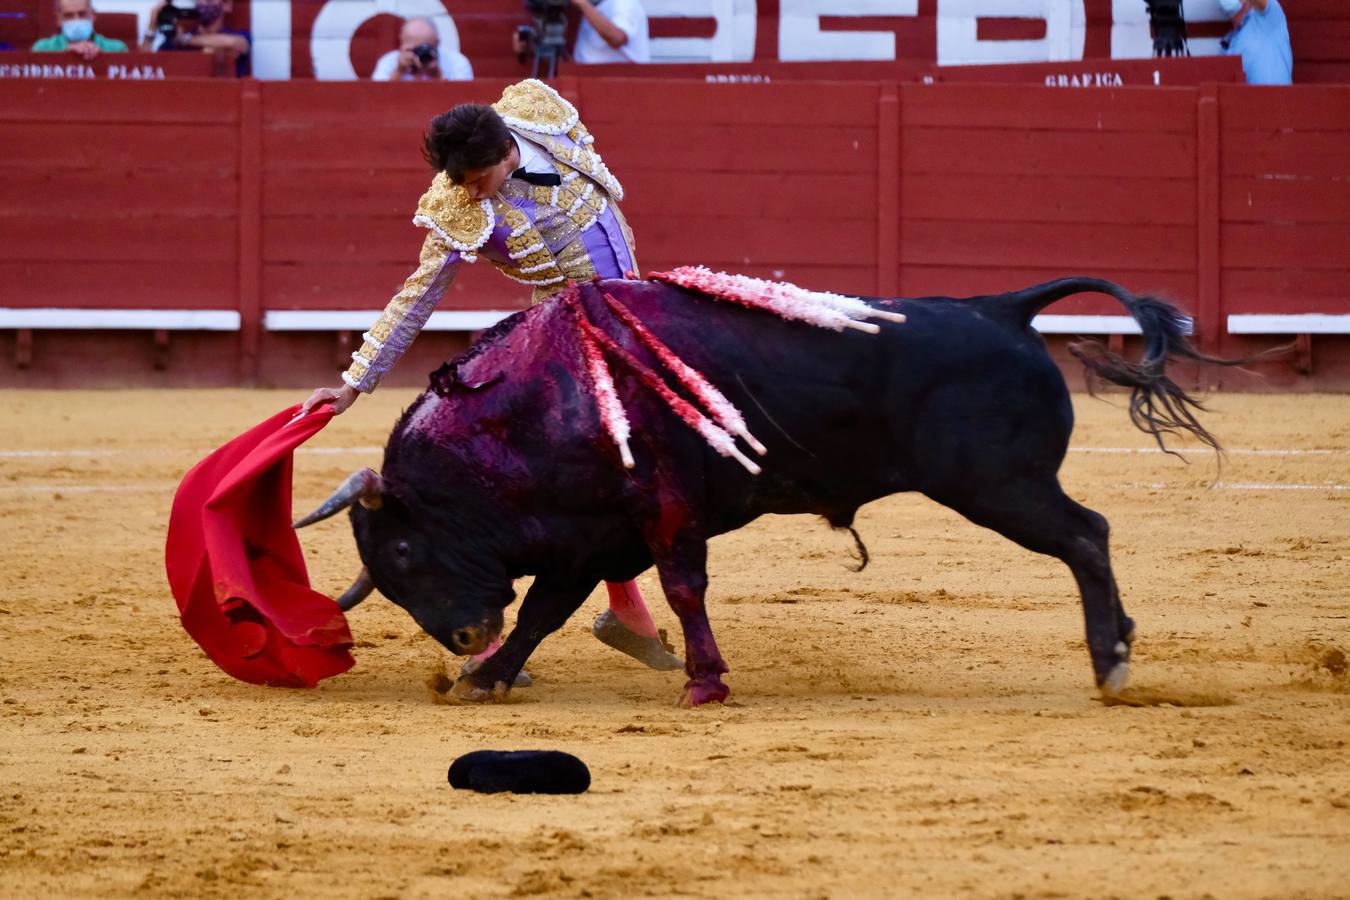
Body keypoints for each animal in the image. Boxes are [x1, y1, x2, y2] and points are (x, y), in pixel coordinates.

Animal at [301, 271, 1236, 707]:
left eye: (406, 548)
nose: (461, 636)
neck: (538, 403)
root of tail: (1003, 306)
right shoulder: (588, 537)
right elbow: (542, 613)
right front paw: (488, 678)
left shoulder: (663, 512)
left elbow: (683, 589)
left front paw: (704, 684)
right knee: (1090, 535)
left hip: (999, 485)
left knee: (1086, 534)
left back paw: (1111, 661)